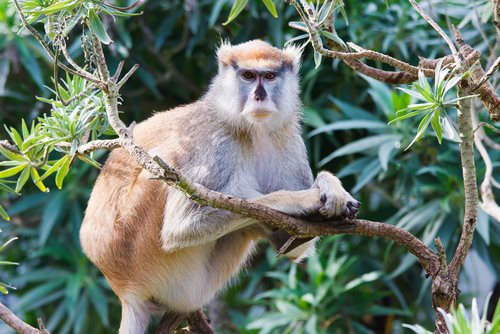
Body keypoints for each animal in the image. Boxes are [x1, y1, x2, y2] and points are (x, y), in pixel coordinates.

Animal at [80, 40, 360, 332]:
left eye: (269, 76)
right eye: (248, 76)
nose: (259, 96)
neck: (250, 129)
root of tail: (124, 289)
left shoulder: (287, 139)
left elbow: (291, 243)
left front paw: (331, 188)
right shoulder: (215, 143)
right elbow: (181, 228)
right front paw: (303, 200)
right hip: (151, 257)